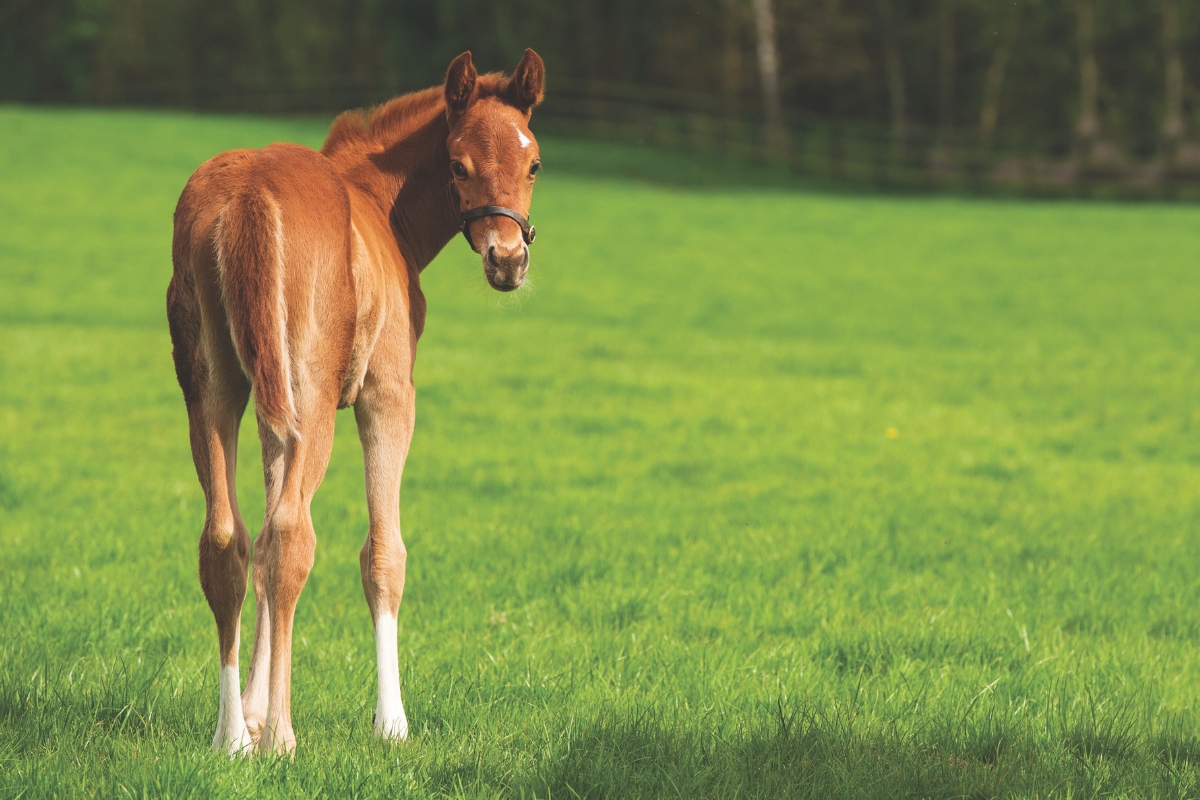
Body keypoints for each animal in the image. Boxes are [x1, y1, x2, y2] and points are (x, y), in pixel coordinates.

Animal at [166, 49, 545, 755]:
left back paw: (232, 737)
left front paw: (252, 711)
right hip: (311, 399)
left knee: (228, 540)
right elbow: (383, 555)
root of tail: (249, 195)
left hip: (214, 389)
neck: (378, 206)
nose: (508, 260)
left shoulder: (272, 414)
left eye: (533, 163)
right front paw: (391, 722)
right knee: (292, 538)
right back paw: (281, 738)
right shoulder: (388, 397)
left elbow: (260, 539)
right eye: (458, 164)